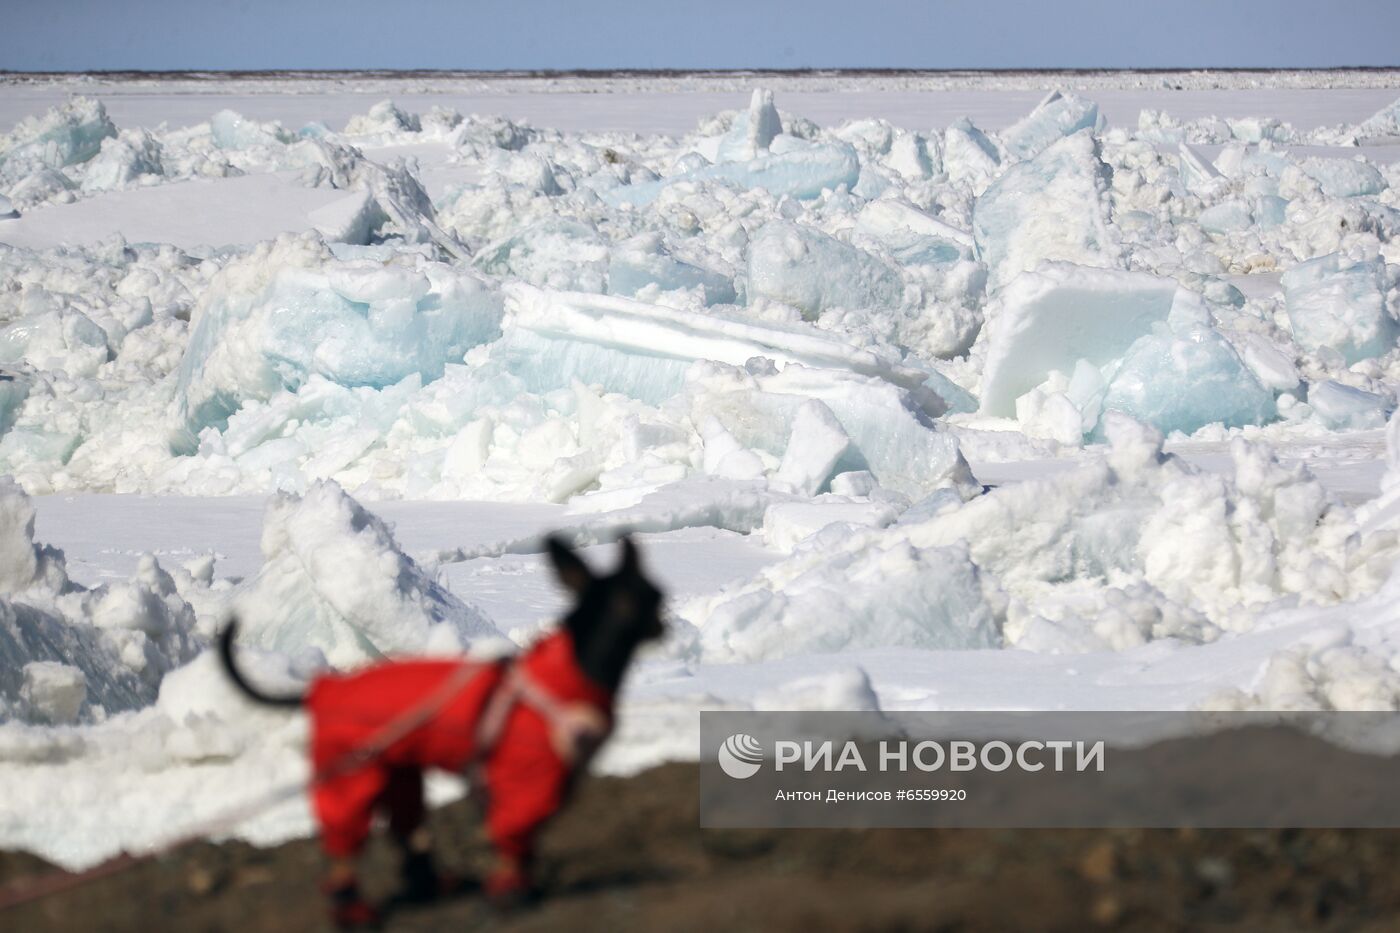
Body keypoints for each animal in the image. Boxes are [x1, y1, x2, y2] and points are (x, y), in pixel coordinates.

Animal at [219, 535, 666, 924]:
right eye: (649, 598)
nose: (664, 625)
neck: (572, 670)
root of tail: (325, 689)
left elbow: (524, 841)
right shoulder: (523, 782)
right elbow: (513, 837)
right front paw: (511, 891)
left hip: (397, 770)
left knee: (406, 829)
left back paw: (429, 884)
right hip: (351, 773)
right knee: (344, 846)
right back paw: (353, 910)